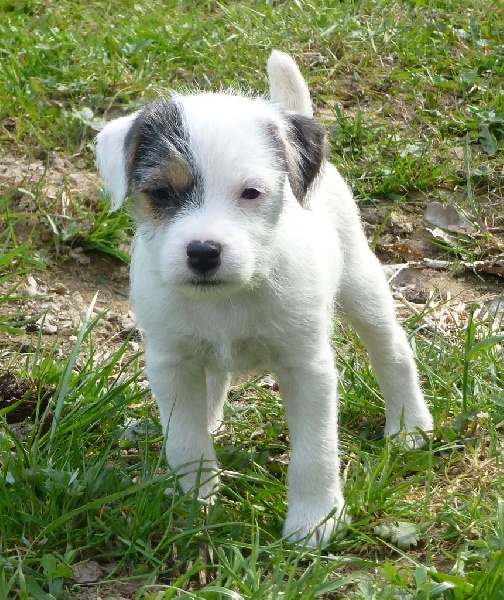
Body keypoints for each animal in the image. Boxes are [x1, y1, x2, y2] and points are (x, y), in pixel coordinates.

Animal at [95, 52, 434, 548]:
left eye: (251, 193)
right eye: (160, 193)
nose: (203, 251)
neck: (238, 290)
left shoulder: (307, 368)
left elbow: (315, 450)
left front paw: (315, 522)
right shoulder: (171, 364)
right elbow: (185, 440)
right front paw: (195, 502)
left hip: (362, 285)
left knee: (391, 350)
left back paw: (410, 425)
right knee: (211, 384)